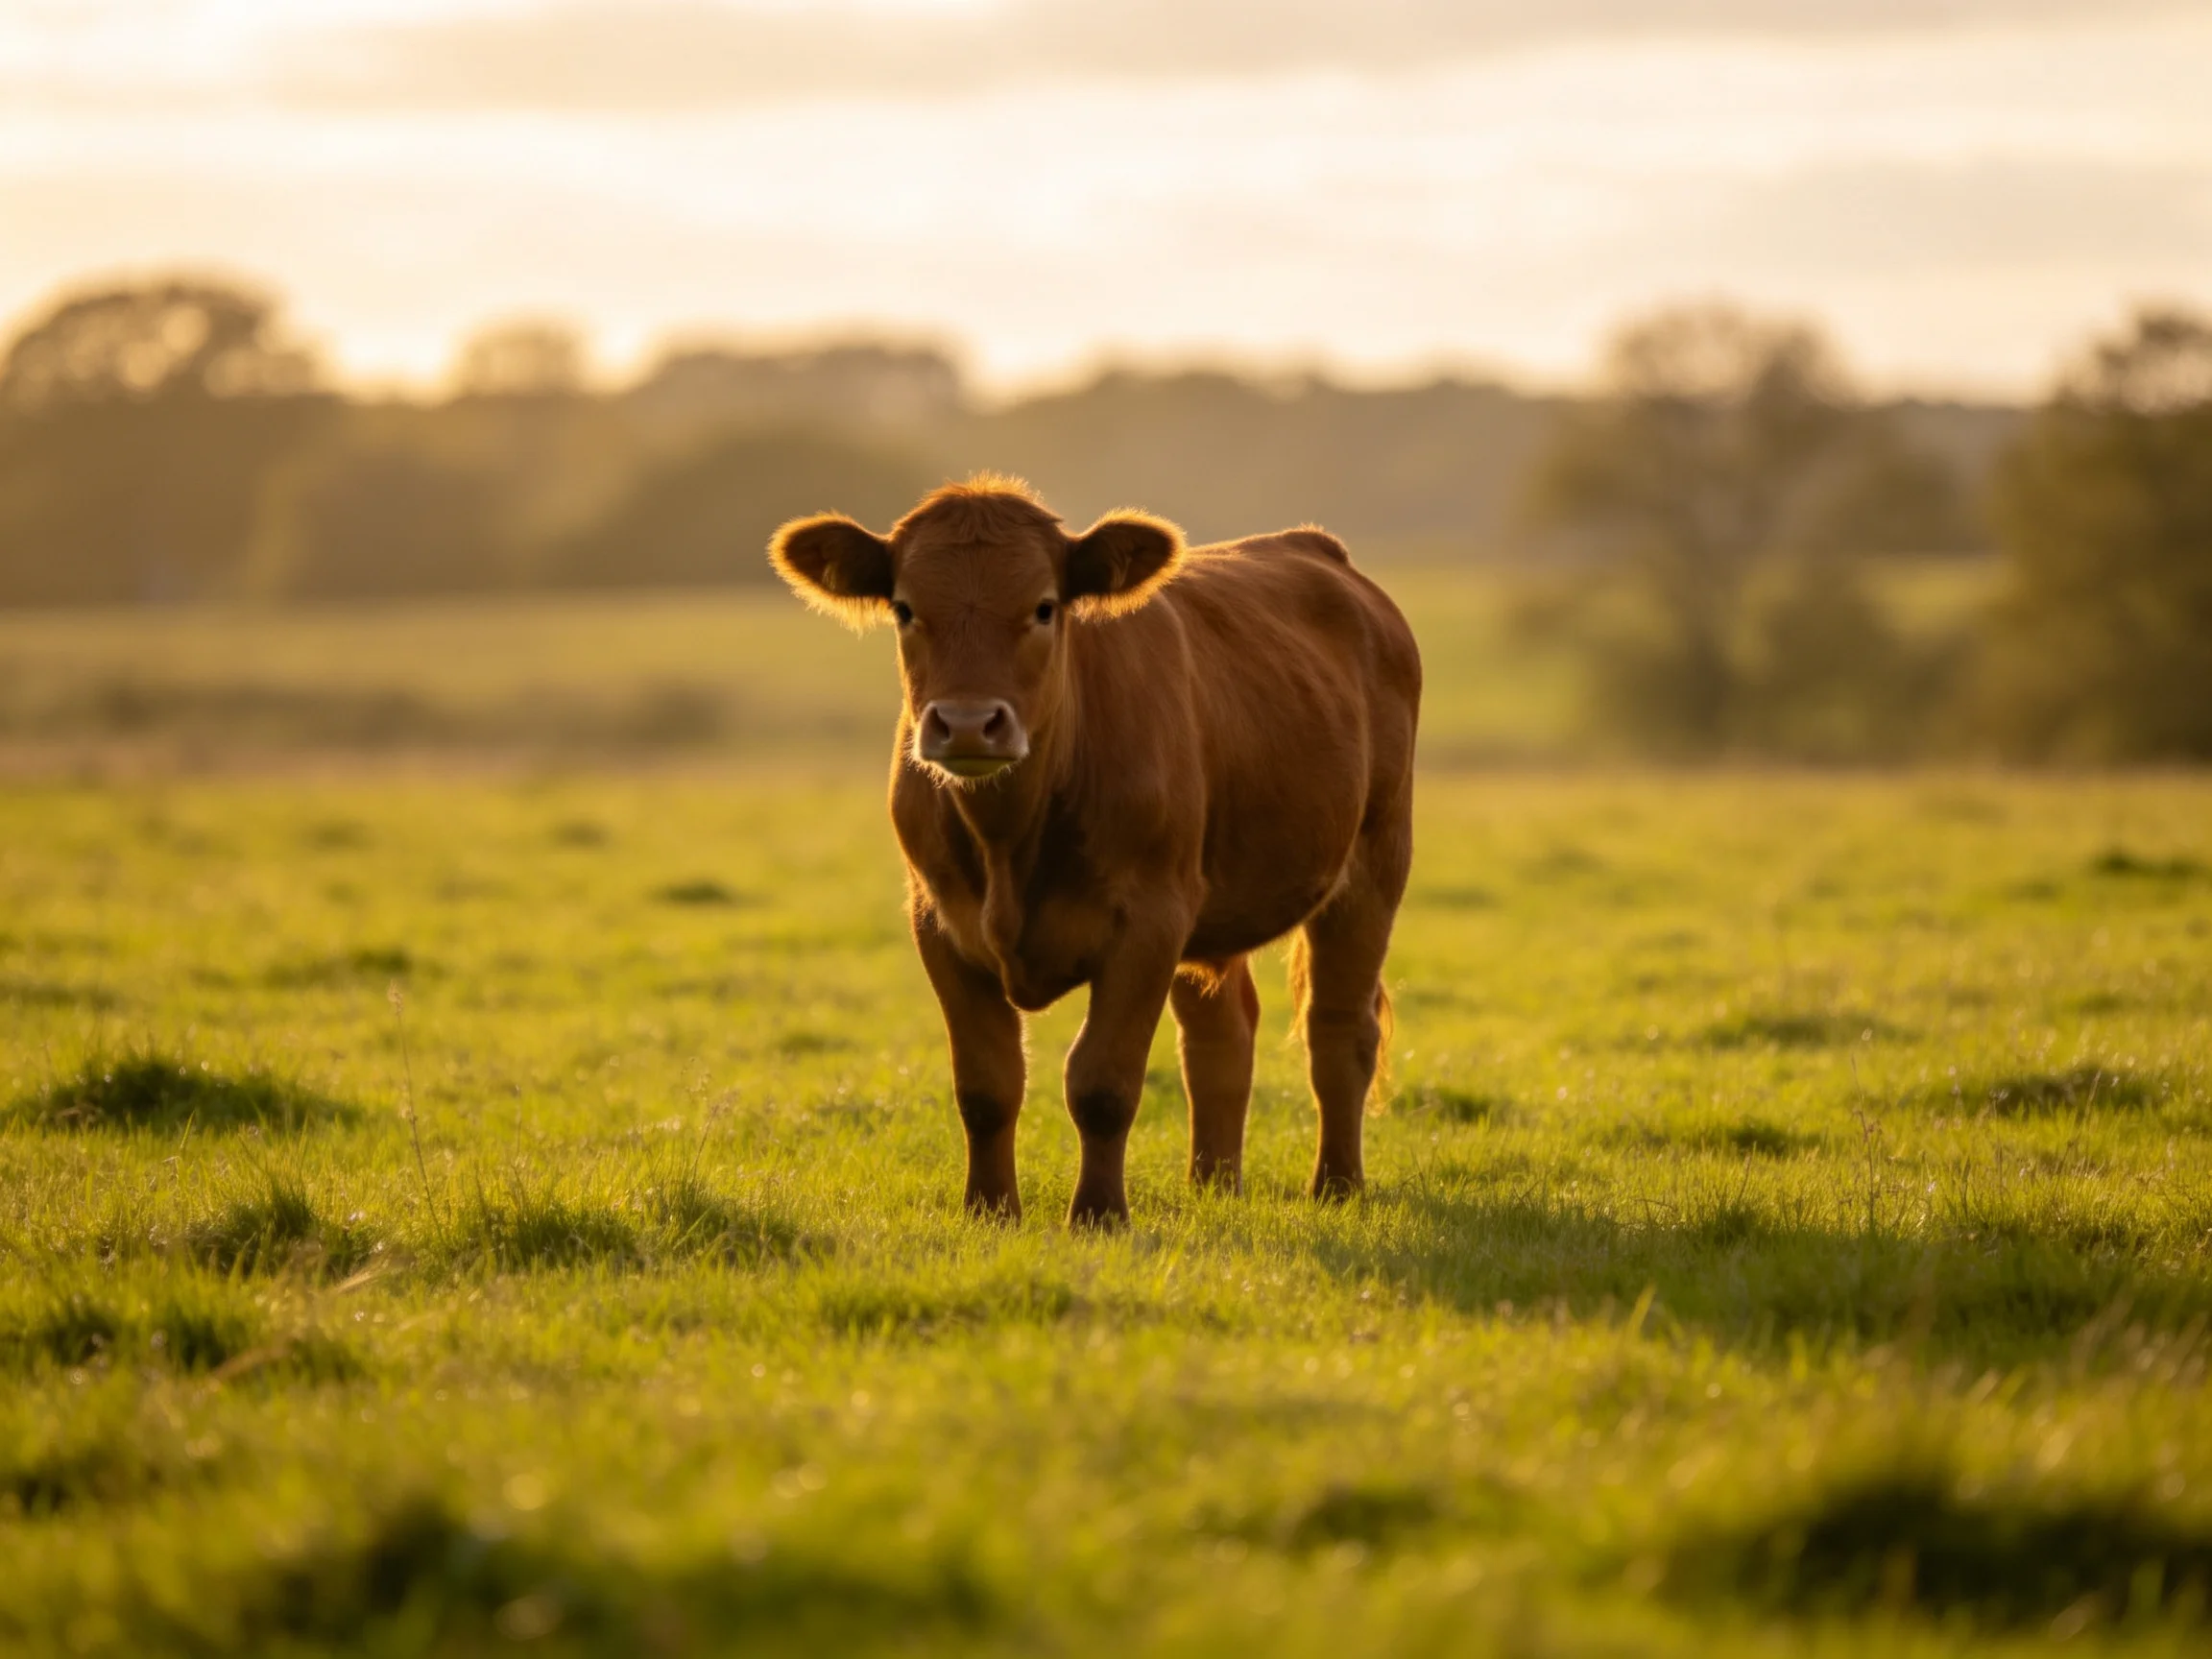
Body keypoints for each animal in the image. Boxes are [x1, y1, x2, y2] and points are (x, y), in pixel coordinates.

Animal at [768, 476, 1420, 1226]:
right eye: (905, 608)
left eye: (1044, 607)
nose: (969, 723)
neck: (1009, 843)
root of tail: (1315, 548)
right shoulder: (937, 922)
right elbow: (986, 1086)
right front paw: (990, 1210)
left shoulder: (1148, 921)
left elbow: (1103, 1083)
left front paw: (1099, 1215)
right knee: (1221, 1035)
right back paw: (1213, 1186)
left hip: (1372, 868)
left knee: (1338, 1031)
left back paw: (1337, 1187)